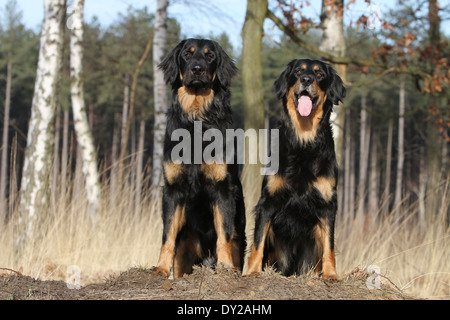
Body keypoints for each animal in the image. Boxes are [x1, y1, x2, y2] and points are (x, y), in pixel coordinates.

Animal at [154, 38, 246, 278]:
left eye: (209, 55)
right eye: (187, 54)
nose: (197, 69)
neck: (196, 119)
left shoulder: (222, 187)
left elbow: (224, 233)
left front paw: (224, 267)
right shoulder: (173, 187)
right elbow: (167, 234)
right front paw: (160, 267)